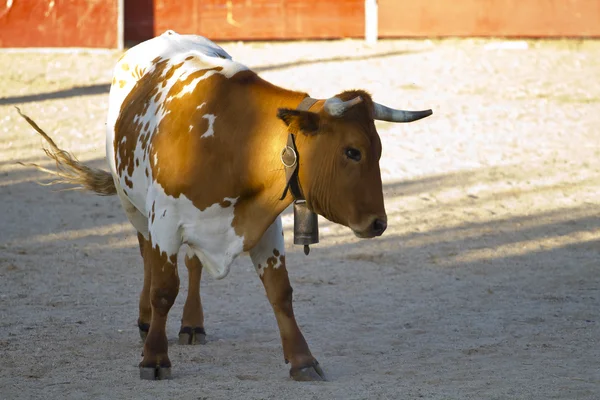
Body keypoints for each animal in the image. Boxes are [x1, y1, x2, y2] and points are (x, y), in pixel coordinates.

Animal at [18, 30, 432, 382]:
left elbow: (280, 292)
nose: (378, 223)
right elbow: (164, 288)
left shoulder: (266, 224)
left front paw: (302, 359)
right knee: (147, 258)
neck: (235, 141)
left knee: (192, 265)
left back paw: (192, 323)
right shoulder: (164, 220)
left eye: (378, 151)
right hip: (131, 205)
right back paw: (146, 320)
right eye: (352, 151)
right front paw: (154, 357)